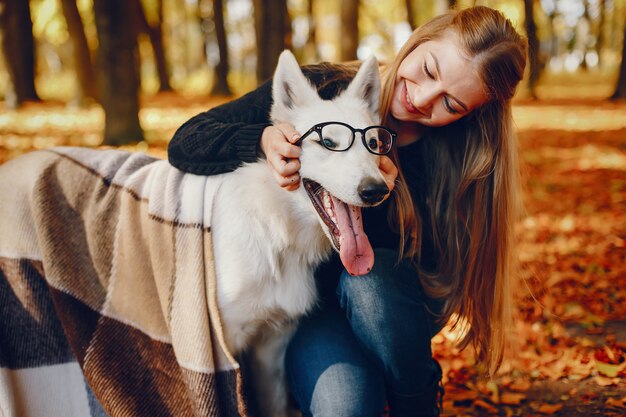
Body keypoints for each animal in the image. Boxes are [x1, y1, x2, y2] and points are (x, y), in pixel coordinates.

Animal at [214, 50, 390, 414]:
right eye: (328, 142)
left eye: (373, 143)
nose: (375, 191)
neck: (275, 231)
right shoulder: (224, 350)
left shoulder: (272, 346)